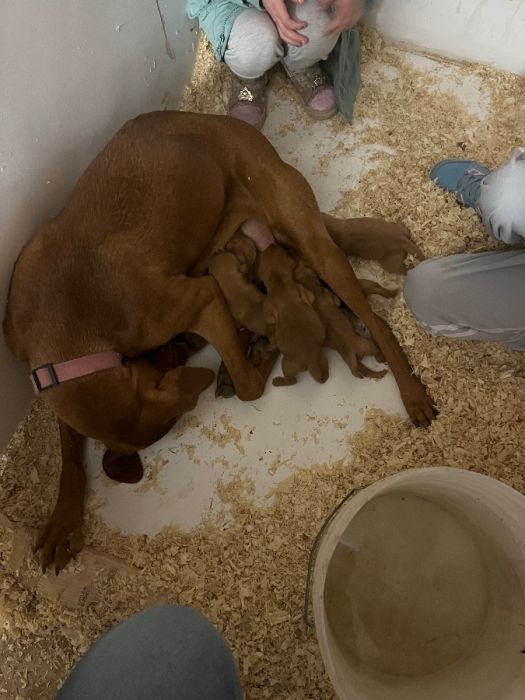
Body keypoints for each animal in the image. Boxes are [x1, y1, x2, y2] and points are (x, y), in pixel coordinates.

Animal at [258, 245, 328, 388]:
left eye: (264, 253)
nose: (271, 244)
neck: (279, 281)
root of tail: (311, 361)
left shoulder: (267, 306)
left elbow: (268, 320)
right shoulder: (303, 290)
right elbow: (310, 297)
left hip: (286, 364)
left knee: (292, 380)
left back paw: (279, 381)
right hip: (322, 356)